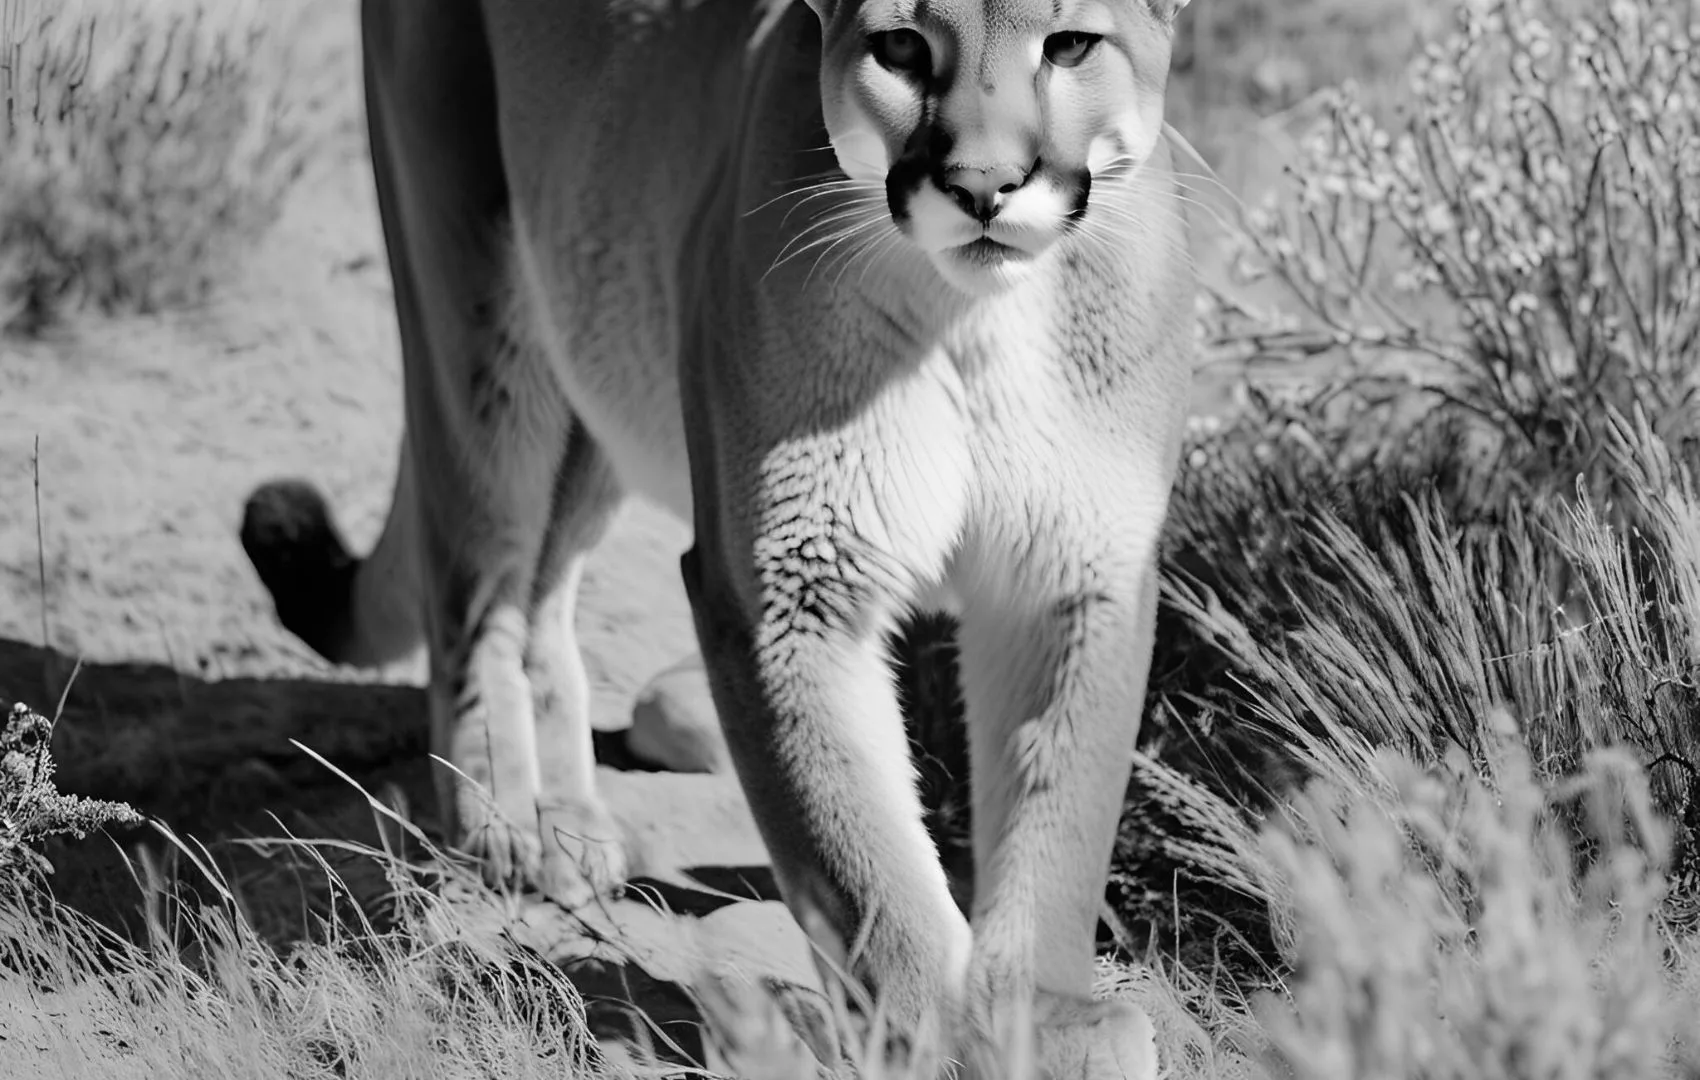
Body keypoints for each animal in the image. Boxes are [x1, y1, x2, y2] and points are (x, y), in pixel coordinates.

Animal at [240, 0, 1196, 1073]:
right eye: (902, 47)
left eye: (1069, 45)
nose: (984, 185)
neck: (976, 316)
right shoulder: (781, 591)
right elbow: (858, 857)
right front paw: (938, 1036)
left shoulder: (1076, 578)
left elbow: (1059, 818)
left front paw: (1046, 1016)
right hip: (478, 308)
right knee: (472, 587)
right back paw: (507, 824)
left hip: (603, 359)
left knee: (541, 596)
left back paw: (567, 822)